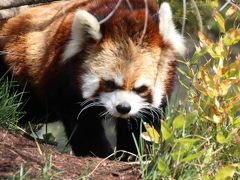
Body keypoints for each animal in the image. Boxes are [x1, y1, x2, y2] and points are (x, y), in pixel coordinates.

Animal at [0, 0, 186, 158]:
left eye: (141, 88)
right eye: (109, 84)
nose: (123, 108)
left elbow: (142, 125)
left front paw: (134, 154)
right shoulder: (65, 78)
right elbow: (83, 123)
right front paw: (100, 154)